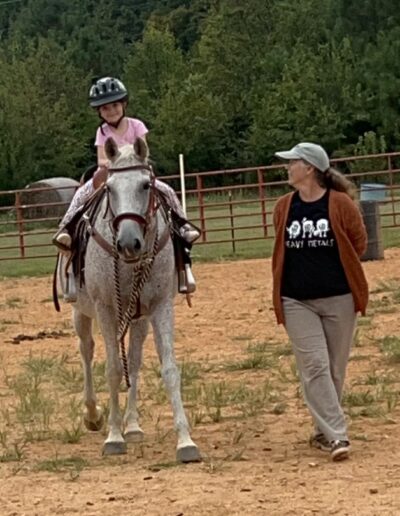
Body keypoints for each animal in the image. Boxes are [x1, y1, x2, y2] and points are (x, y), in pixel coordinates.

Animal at [61, 138, 200, 464]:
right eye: (109, 188)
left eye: (146, 185)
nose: (128, 243)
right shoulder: (105, 309)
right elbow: (112, 369)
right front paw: (114, 437)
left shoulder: (160, 307)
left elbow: (169, 369)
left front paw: (185, 442)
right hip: (81, 313)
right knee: (87, 351)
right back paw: (93, 415)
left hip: (139, 319)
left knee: (133, 362)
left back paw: (133, 426)